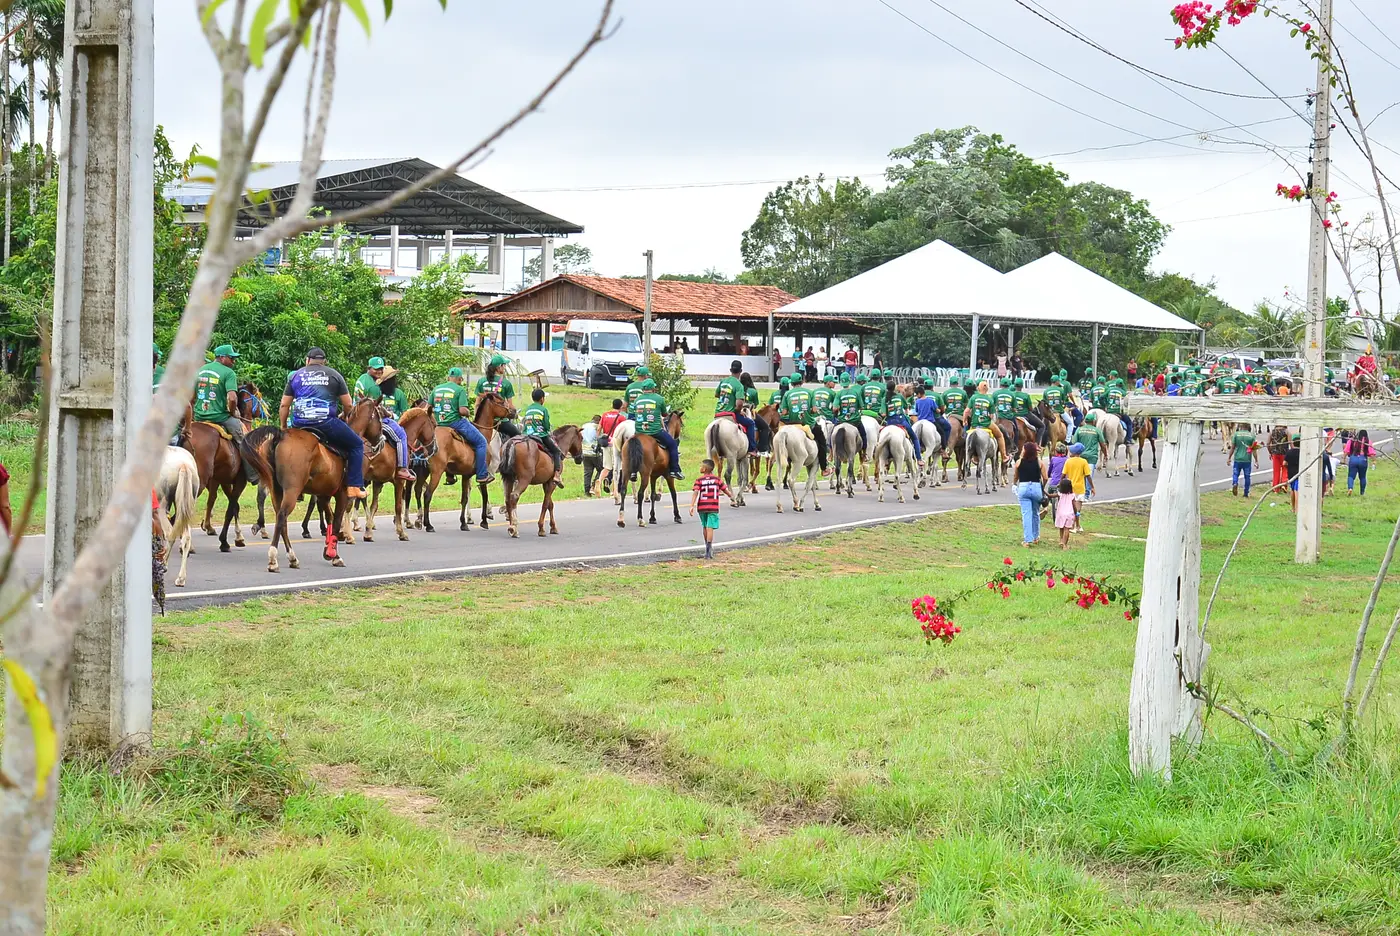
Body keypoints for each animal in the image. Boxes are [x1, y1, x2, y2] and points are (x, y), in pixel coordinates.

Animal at [155, 446, 201, 588]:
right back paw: (180, 578)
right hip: (186, 506)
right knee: (186, 537)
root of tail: (184, 465)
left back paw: (164, 564)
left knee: (170, 533)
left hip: (162, 504)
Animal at [240, 398, 381, 573]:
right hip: (292, 491)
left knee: (282, 519)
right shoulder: (342, 494)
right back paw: (273, 559)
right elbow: (336, 521)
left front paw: (328, 548)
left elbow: (329, 517)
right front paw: (334, 554)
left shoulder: (323, 495)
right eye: (380, 416)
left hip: (276, 491)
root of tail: (281, 435)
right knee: (281, 517)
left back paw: (292, 557)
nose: (380, 440)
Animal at [419, 392, 516, 533]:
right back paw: (428, 524)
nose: (514, 411)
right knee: (427, 495)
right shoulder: (483, 474)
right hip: (436, 472)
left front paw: (463, 523)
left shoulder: (466, 475)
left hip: (423, 472)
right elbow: (485, 496)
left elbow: (464, 499)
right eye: (501, 402)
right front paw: (484, 520)